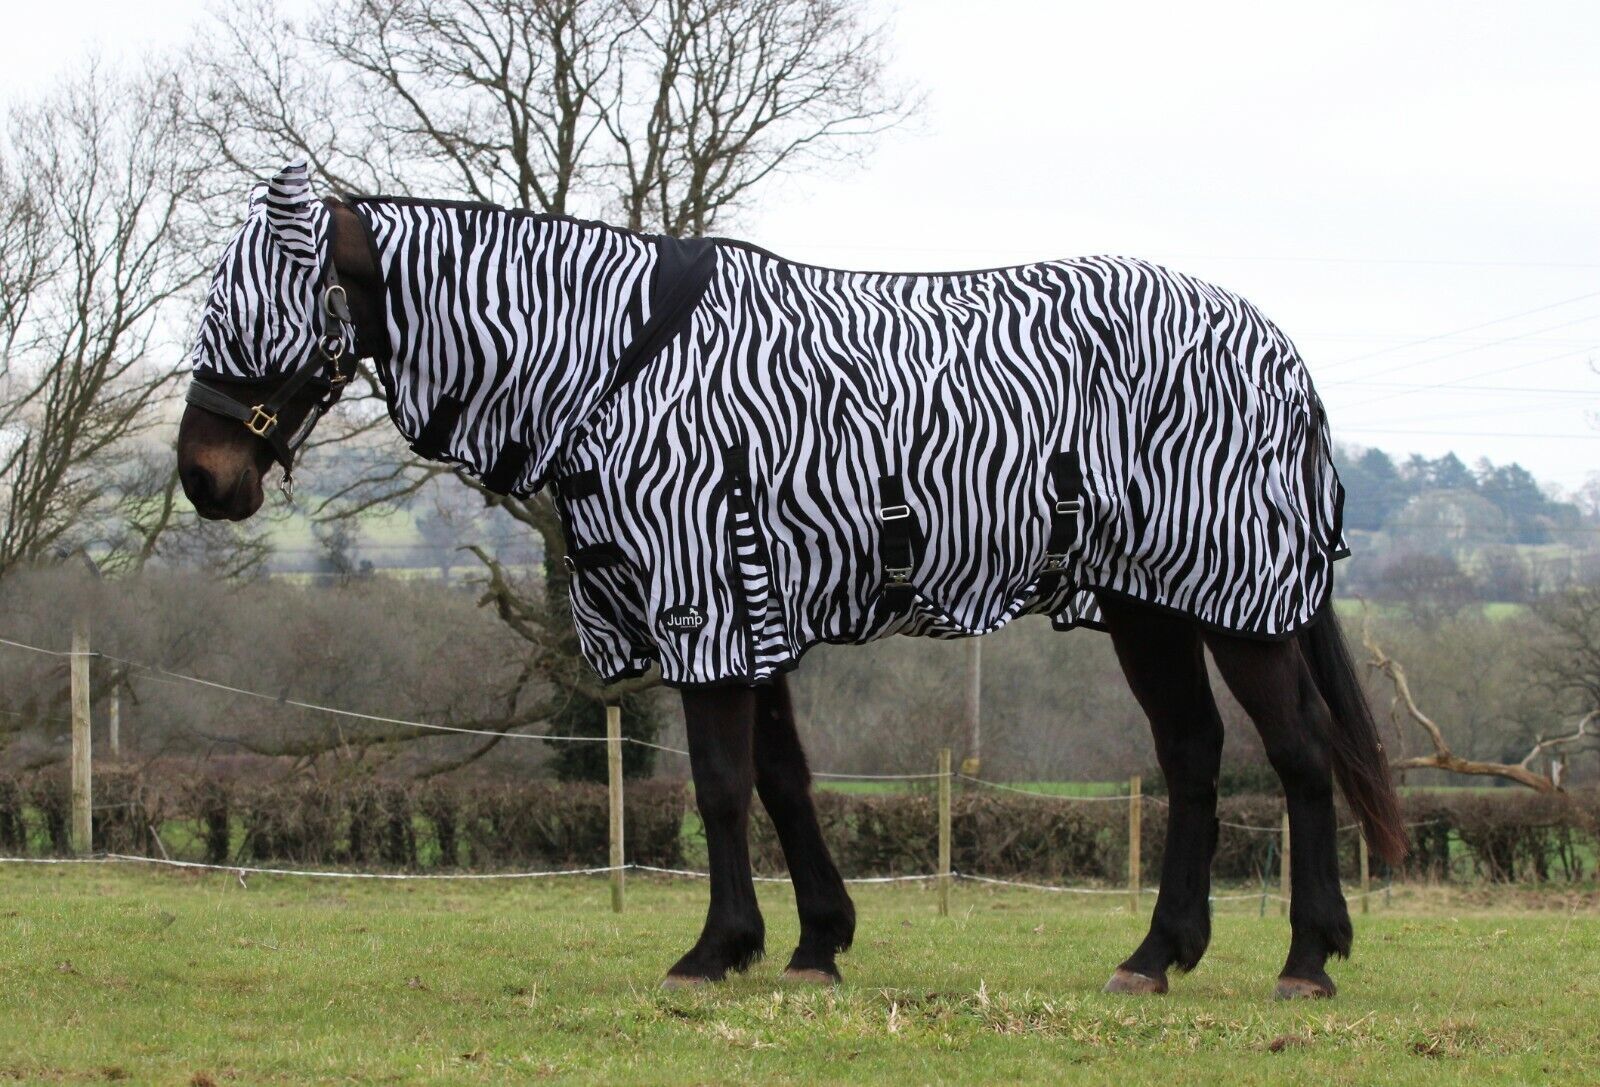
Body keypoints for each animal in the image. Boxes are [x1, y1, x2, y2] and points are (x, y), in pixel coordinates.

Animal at [178, 161, 1407, 1000]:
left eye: (246, 310)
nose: (202, 476)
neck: (622, 363)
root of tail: (1280, 350)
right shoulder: (749, 600)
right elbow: (783, 778)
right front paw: (815, 942)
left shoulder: (708, 596)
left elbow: (723, 785)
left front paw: (714, 950)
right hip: (1150, 608)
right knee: (1194, 755)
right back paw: (1155, 955)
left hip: (1238, 603)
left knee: (1298, 755)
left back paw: (1308, 955)